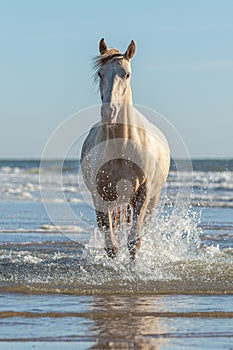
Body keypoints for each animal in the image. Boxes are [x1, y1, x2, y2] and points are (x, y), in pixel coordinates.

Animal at [80, 39, 169, 260]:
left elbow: (133, 241)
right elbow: (111, 246)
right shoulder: (101, 196)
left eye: (126, 74)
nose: (108, 113)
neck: (122, 147)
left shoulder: (143, 195)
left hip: (151, 201)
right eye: (100, 73)